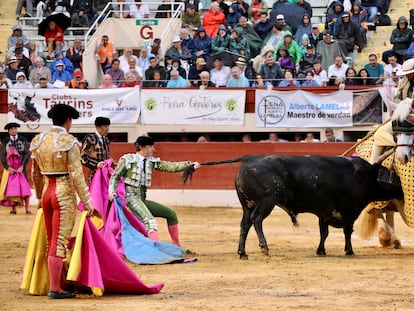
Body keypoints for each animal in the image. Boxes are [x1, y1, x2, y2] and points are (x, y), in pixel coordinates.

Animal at [183, 155, 402, 260]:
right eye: (396, 179)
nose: (403, 193)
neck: (363, 176)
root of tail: (249, 160)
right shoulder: (349, 210)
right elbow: (347, 232)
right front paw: (349, 251)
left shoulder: (324, 212)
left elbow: (324, 233)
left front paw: (321, 251)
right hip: (267, 201)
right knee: (256, 220)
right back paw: (264, 248)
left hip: (247, 205)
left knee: (244, 224)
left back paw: (242, 253)